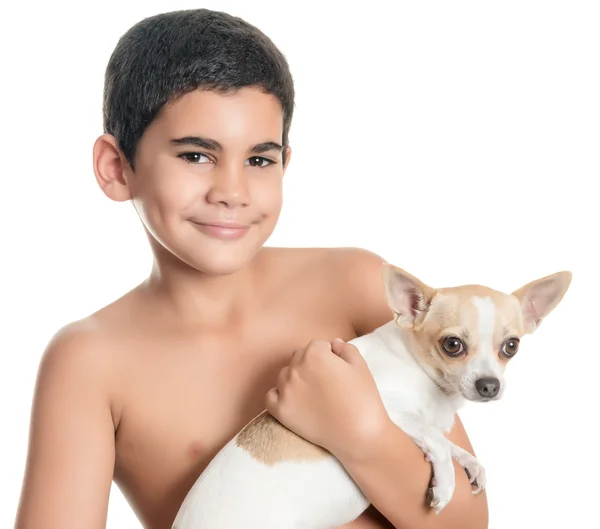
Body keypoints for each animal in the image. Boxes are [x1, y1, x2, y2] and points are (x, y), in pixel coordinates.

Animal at [172, 264, 572, 528]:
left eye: (511, 346)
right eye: (452, 345)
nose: (489, 385)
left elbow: (446, 442)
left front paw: (470, 463)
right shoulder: (386, 411)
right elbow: (436, 440)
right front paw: (445, 483)